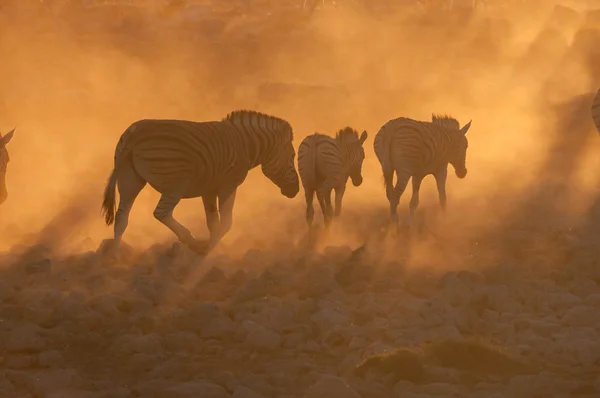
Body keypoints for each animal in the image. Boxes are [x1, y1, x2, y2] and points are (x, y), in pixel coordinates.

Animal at [102, 110, 304, 256]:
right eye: (292, 156)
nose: (295, 190)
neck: (245, 145)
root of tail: (136, 132)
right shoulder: (228, 185)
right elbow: (226, 223)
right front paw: (208, 251)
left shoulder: (209, 189)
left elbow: (213, 223)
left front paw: (211, 249)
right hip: (176, 183)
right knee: (161, 213)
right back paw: (191, 241)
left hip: (130, 178)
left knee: (121, 217)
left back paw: (114, 256)